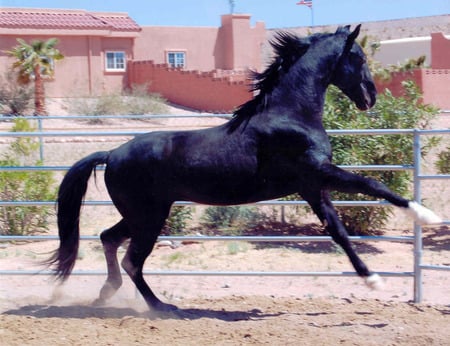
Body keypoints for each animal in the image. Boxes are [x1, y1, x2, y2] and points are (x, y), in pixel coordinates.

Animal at [47, 25, 442, 312]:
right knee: (132, 260)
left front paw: (372, 279)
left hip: (141, 214)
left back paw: (105, 294)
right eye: (357, 58)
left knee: (108, 239)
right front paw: (428, 216)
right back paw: (164, 308)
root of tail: (112, 153)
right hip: (150, 215)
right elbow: (372, 184)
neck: (289, 113)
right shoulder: (319, 173)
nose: (370, 97)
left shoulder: (312, 187)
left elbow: (339, 233)